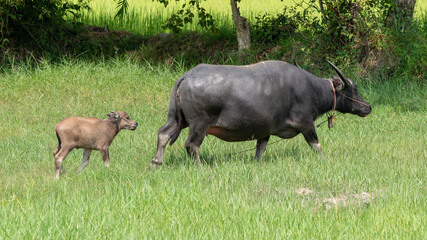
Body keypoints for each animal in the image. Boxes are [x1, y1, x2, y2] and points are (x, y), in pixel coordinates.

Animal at [150, 60, 372, 167]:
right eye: (354, 89)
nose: (368, 107)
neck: (312, 89)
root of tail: (187, 76)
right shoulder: (305, 123)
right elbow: (316, 145)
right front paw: (324, 159)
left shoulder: (264, 130)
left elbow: (260, 149)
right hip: (199, 123)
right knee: (191, 145)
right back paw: (199, 166)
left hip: (177, 118)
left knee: (163, 133)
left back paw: (156, 162)